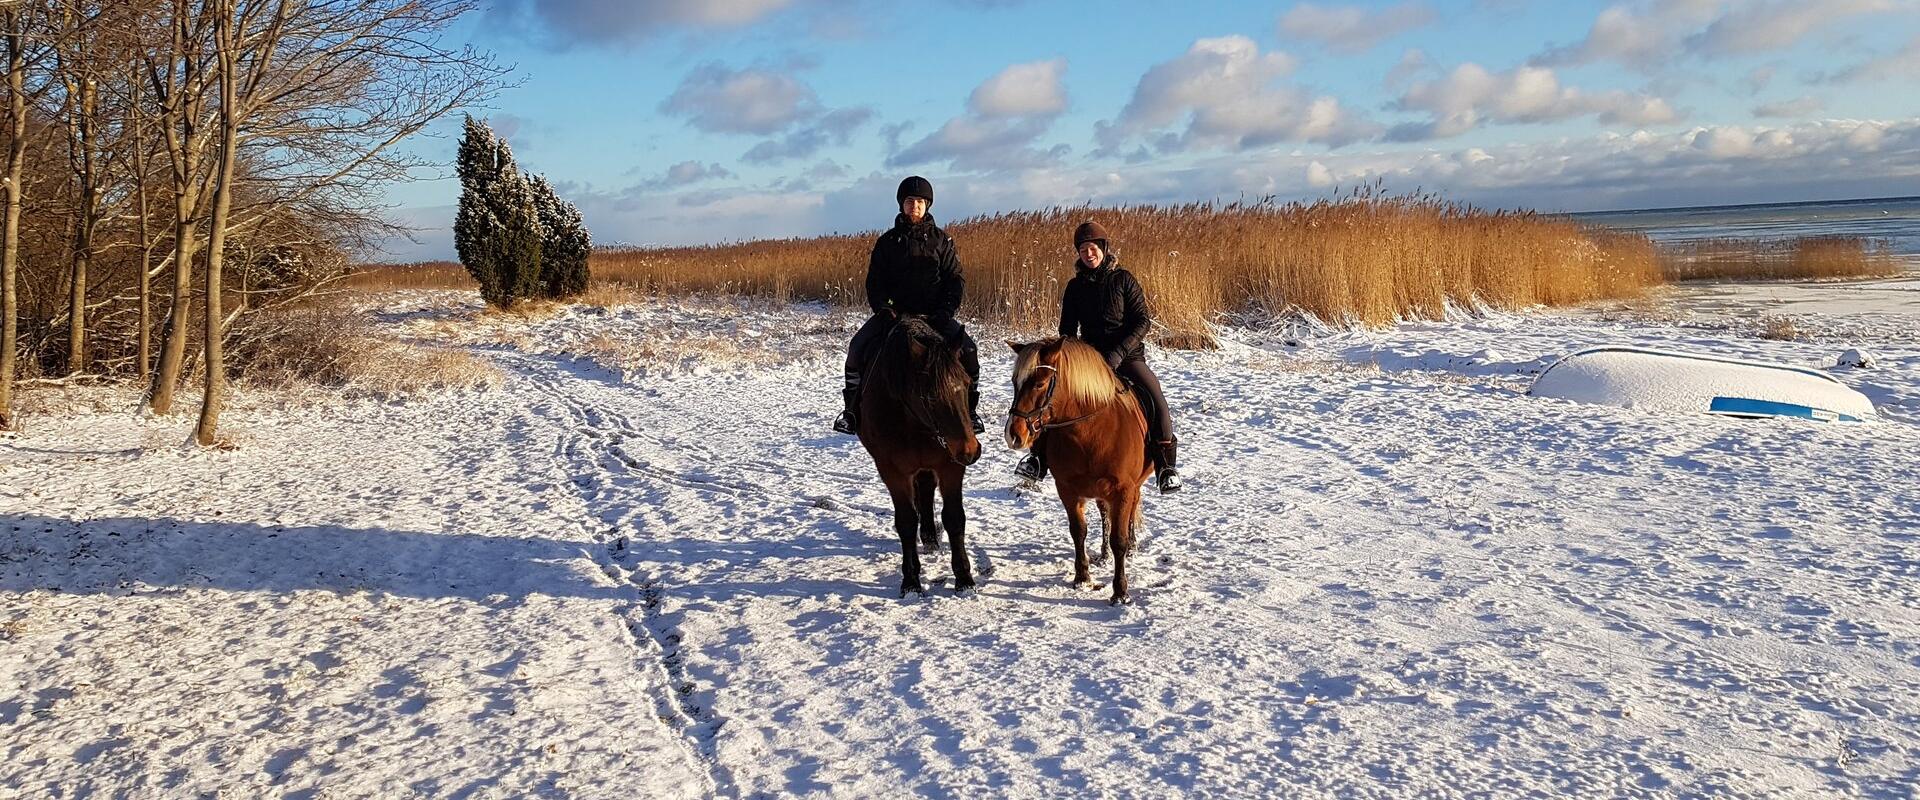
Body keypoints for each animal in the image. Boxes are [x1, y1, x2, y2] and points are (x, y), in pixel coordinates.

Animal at [856, 310, 983, 590]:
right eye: (932, 396)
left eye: (967, 382)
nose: (970, 450)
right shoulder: (892, 471)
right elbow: (905, 521)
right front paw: (911, 581)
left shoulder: (950, 464)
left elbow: (954, 517)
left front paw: (964, 578)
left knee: (925, 490)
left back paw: (930, 537)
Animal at [1006, 333, 1152, 602]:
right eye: (1015, 382)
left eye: (1040, 384)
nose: (1013, 435)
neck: (1090, 433)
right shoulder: (1067, 489)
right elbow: (1078, 531)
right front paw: (1082, 577)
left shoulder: (1123, 489)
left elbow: (1119, 539)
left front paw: (1120, 592)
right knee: (1105, 514)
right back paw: (1104, 555)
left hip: (1131, 487)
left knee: (1131, 510)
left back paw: (1132, 547)